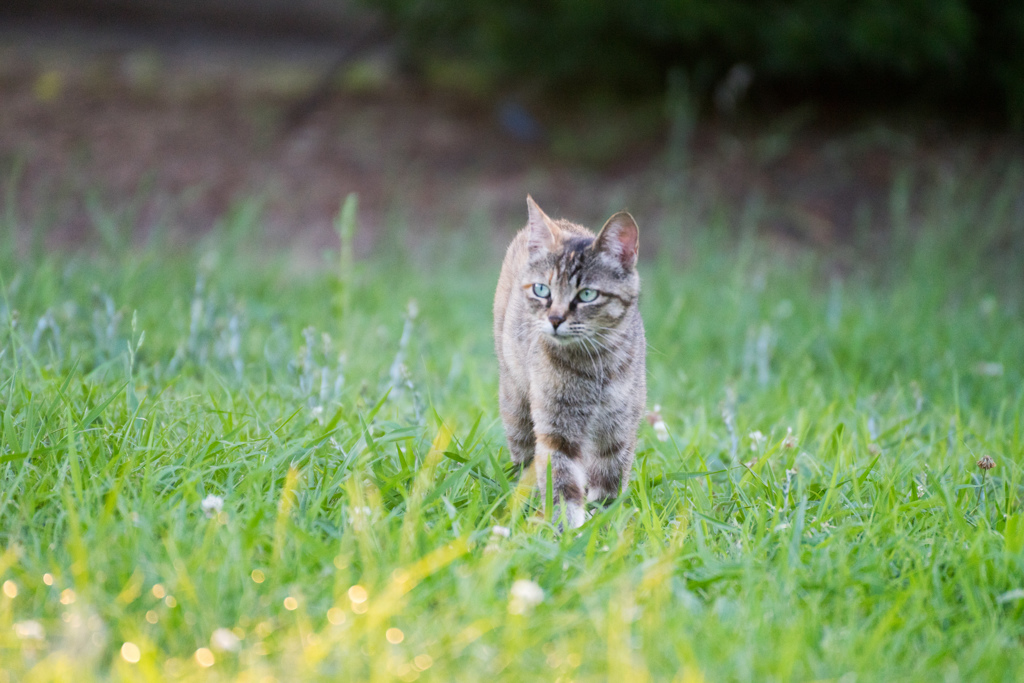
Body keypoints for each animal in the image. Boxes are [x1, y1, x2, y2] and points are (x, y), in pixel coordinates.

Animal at [495, 196, 647, 528]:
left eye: (587, 294)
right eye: (542, 290)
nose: (554, 319)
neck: (594, 364)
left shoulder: (619, 430)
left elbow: (609, 482)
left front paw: (602, 522)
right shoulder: (557, 431)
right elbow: (561, 482)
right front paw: (569, 530)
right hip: (516, 401)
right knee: (524, 456)